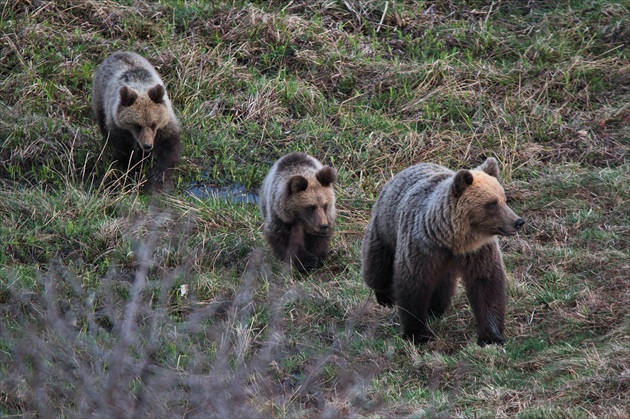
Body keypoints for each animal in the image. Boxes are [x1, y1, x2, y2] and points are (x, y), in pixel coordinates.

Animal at [91, 50, 181, 192]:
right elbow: (124, 149)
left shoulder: (165, 121)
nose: (148, 145)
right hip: (99, 98)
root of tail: (117, 53)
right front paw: (133, 170)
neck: (141, 87)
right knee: (102, 124)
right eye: (137, 125)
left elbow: (169, 144)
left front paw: (158, 171)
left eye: (153, 124)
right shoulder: (118, 126)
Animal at [362, 158, 524, 348]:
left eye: (503, 199)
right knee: (377, 264)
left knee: (443, 286)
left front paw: (491, 337)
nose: (518, 221)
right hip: (385, 227)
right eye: (492, 203)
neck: (453, 240)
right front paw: (418, 334)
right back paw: (385, 297)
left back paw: (435, 309)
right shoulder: (422, 247)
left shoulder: (478, 252)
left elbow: (487, 284)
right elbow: (413, 285)